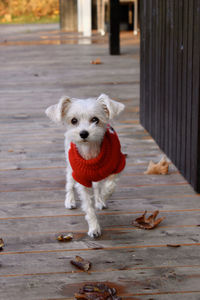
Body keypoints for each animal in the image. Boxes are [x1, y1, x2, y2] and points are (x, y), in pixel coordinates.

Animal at [46, 94, 126, 237]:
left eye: (95, 119)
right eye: (73, 120)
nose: (83, 133)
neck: (90, 153)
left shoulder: (119, 164)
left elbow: (110, 185)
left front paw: (102, 197)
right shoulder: (81, 178)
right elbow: (88, 207)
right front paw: (94, 228)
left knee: (98, 185)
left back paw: (99, 199)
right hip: (70, 167)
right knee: (69, 184)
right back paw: (70, 200)